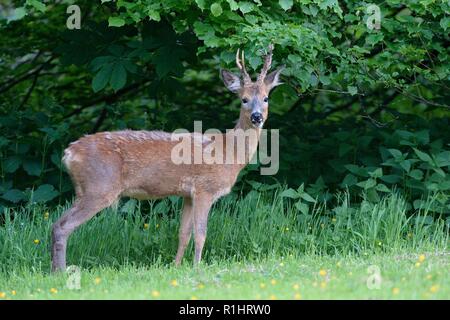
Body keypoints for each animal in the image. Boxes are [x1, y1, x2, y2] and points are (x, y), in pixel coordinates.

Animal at [51, 43, 282, 272]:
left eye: (266, 98)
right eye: (244, 99)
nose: (257, 117)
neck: (227, 152)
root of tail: (69, 153)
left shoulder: (187, 195)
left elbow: (183, 233)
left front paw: (176, 266)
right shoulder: (205, 189)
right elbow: (201, 233)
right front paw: (197, 267)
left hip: (86, 190)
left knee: (56, 223)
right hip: (98, 187)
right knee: (62, 226)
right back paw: (60, 271)